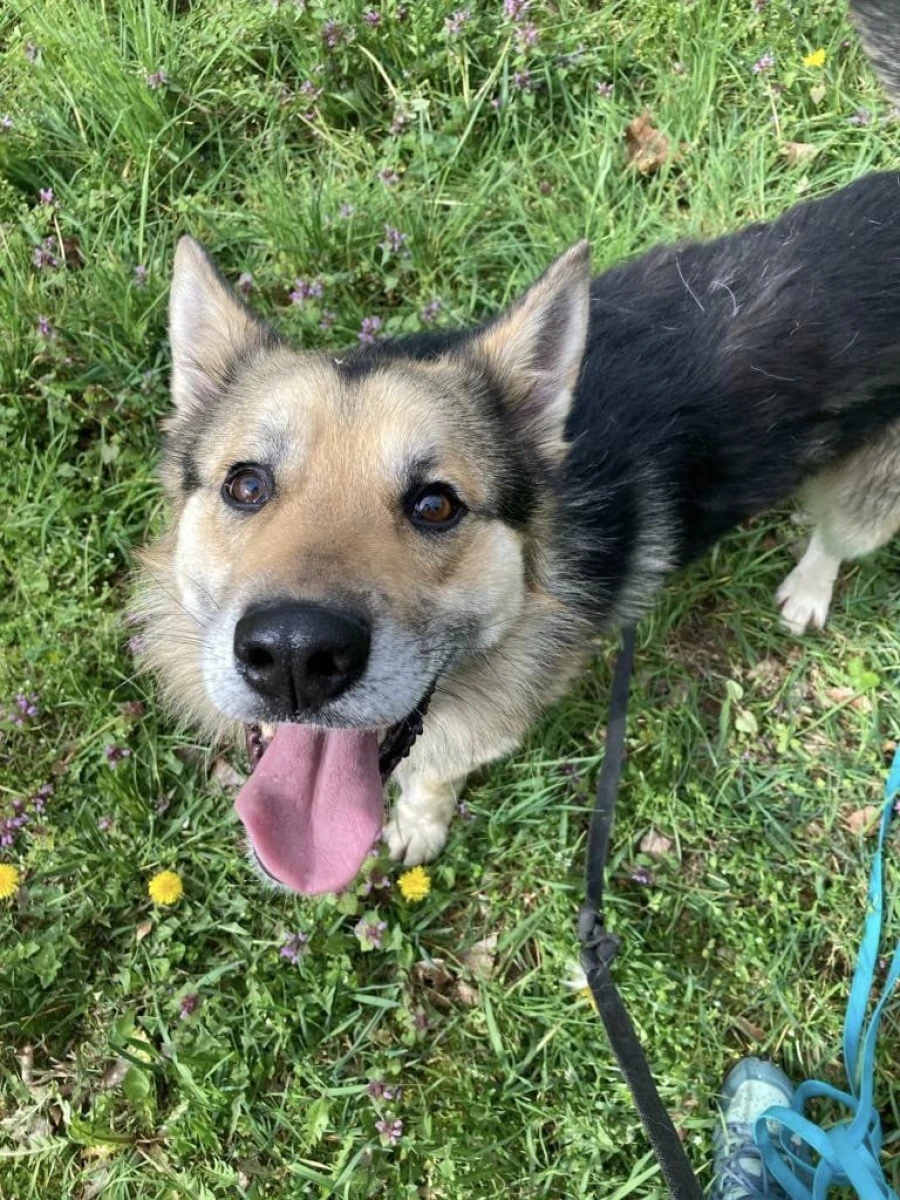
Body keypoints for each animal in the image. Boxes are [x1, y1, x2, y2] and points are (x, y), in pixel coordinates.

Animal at [135, 4, 900, 895]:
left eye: (436, 504)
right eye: (246, 486)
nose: (293, 655)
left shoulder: (490, 722)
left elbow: (437, 772)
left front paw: (419, 823)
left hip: (869, 498)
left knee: (836, 538)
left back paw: (808, 590)